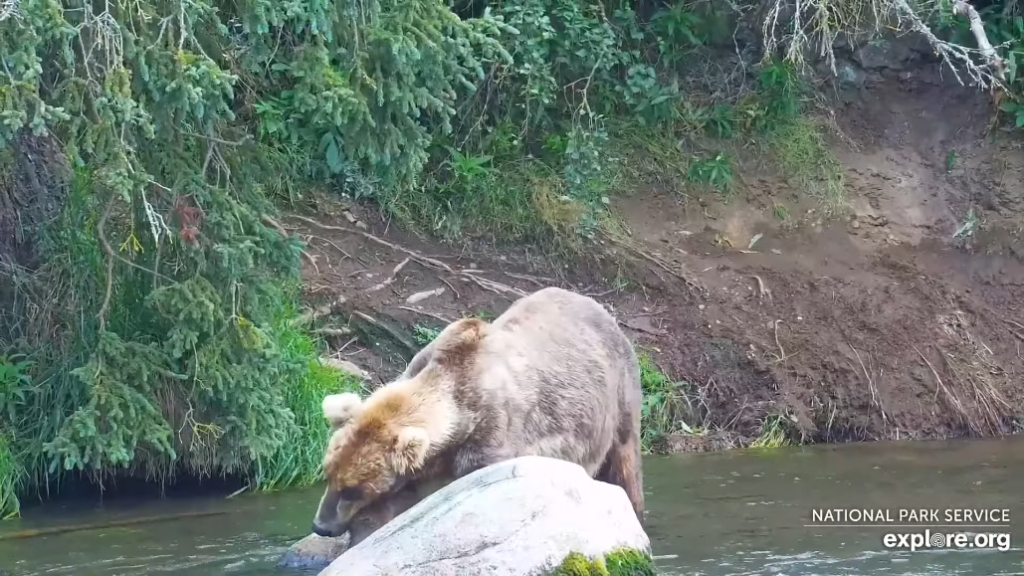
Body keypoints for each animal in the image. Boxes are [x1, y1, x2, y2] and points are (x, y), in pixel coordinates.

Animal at [309, 286, 647, 537]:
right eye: (328, 474)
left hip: (619, 394)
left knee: (625, 463)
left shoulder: (493, 433)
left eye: (353, 490)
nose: (321, 526)